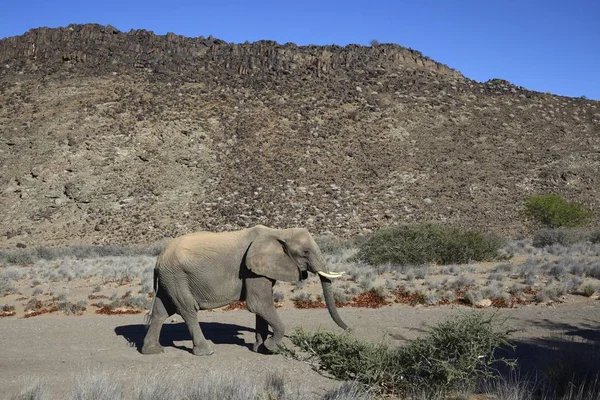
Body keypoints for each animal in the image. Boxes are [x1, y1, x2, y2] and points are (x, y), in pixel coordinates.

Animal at [141, 225, 346, 356]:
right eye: (305, 252)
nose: (348, 329)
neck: (278, 232)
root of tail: (159, 259)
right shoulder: (250, 268)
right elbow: (258, 304)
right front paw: (271, 348)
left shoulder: (260, 269)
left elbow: (261, 307)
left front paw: (260, 348)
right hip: (177, 277)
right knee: (188, 310)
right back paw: (207, 351)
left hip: (169, 279)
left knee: (161, 311)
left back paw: (152, 351)